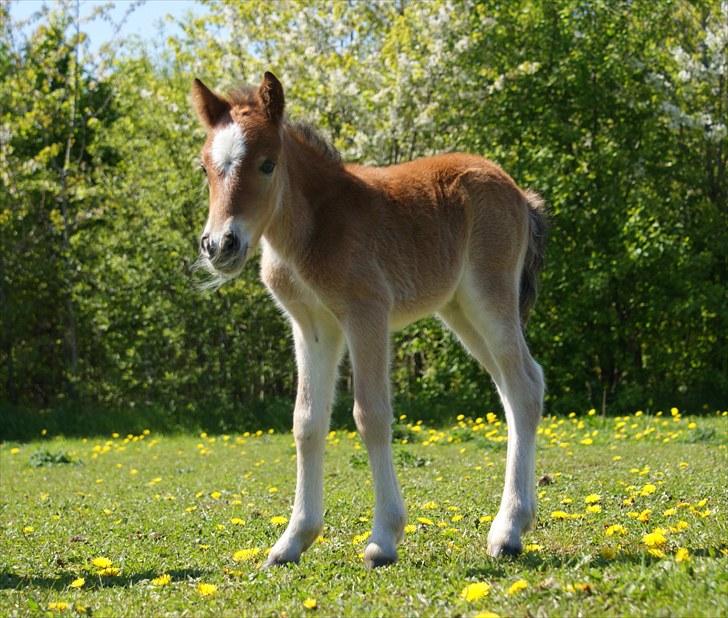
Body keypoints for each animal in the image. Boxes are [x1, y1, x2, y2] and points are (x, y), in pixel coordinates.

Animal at [193, 72, 544, 568]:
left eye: (266, 164)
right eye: (205, 168)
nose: (220, 245)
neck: (312, 228)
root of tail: (519, 193)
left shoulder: (367, 314)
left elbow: (371, 415)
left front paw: (383, 538)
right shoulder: (313, 327)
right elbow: (307, 421)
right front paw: (292, 541)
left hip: (489, 299)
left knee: (524, 387)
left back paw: (508, 531)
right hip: (460, 310)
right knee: (517, 389)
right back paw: (518, 521)